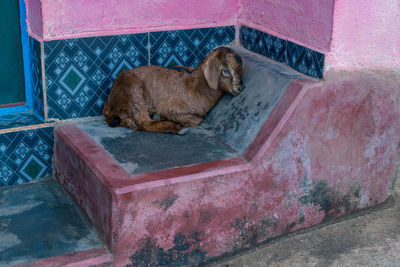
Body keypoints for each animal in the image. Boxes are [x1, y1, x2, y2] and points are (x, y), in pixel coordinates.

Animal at [102, 47, 244, 135]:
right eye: (225, 71)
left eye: (240, 69)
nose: (240, 88)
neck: (196, 87)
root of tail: (108, 105)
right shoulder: (169, 107)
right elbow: (198, 120)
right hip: (133, 89)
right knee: (144, 123)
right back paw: (176, 128)